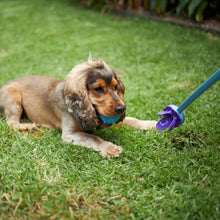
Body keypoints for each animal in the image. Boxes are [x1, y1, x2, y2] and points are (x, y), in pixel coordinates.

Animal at [0, 58, 156, 158]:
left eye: (115, 86)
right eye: (98, 89)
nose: (121, 108)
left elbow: (133, 120)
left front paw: (152, 124)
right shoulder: (70, 134)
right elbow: (93, 138)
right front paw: (110, 148)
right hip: (13, 99)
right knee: (11, 122)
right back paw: (26, 127)